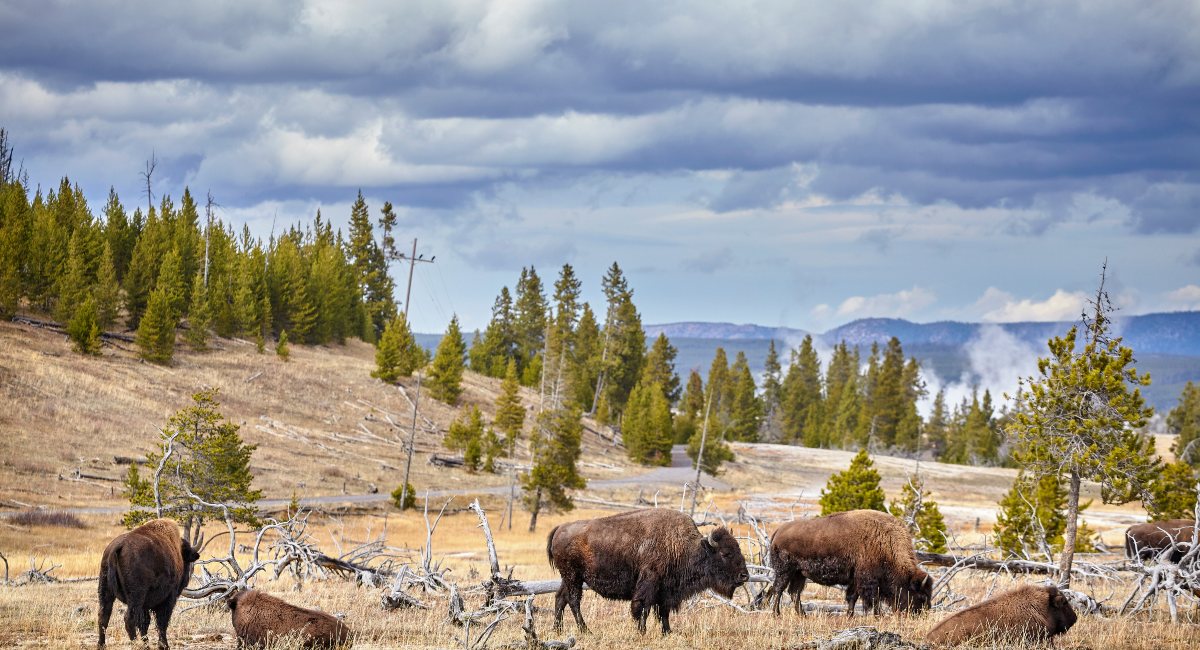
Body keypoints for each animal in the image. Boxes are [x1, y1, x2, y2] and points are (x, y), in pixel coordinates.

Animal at [97, 520, 199, 650]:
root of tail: (118, 546)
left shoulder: (145, 605)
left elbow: (144, 623)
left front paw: (147, 644)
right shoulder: (168, 598)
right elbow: (162, 622)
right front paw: (164, 645)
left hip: (105, 591)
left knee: (103, 616)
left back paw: (102, 645)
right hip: (136, 596)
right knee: (129, 619)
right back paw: (135, 644)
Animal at [547, 508, 748, 638]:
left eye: (738, 549)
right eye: (725, 554)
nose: (744, 576)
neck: (680, 546)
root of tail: (559, 528)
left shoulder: (666, 591)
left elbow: (663, 612)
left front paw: (667, 633)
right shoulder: (649, 584)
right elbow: (643, 607)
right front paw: (642, 631)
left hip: (569, 578)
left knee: (560, 598)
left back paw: (557, 629)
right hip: (573, 577)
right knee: (573, 600)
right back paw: (585, 630)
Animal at [768, 513, 936, 618]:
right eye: (921, 596)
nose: (922, 615)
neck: (886, 542)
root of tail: (778, 531)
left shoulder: (855, 579)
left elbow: (852, 597)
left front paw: (850, 615)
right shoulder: (868, 580)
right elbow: (873, 599)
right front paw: (879, 615)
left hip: (799, 574)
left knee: (794, 592)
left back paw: (802, 615)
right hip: (785, 571)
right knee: (778, 589)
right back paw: (776, 614)